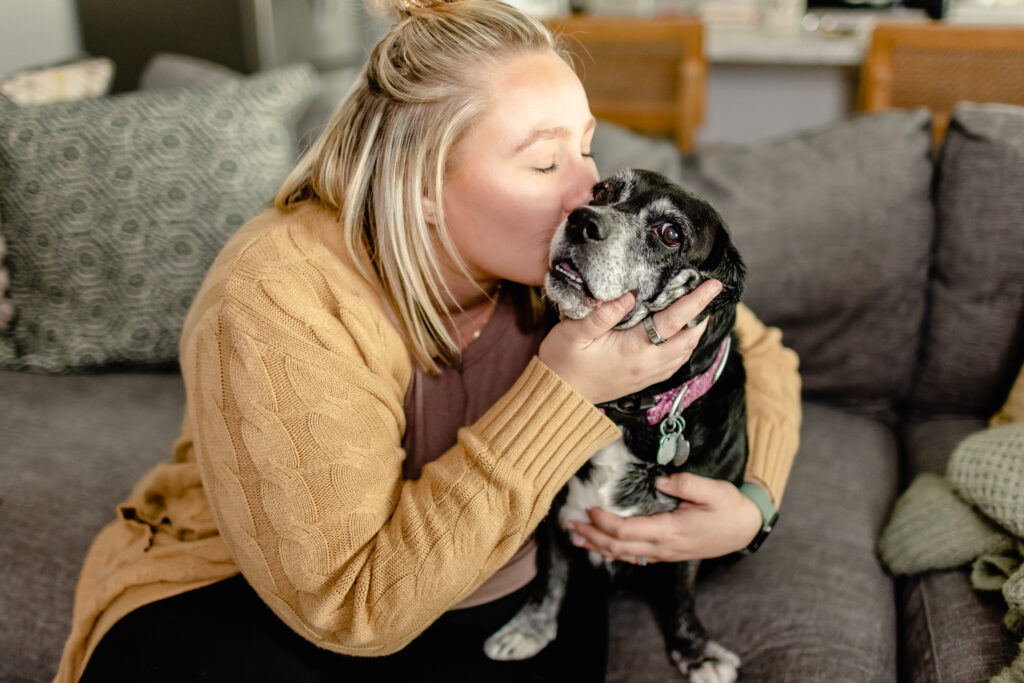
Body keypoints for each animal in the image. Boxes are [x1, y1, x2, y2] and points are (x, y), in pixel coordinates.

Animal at [483, 167, 749, 679]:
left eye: (670, 233)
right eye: (602, 192)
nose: (580, 219)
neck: (629, 411)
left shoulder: (690, 528)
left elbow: (681, 595)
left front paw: (695, 652)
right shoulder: (552, 509)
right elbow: (552, 575)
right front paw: (531, 627)